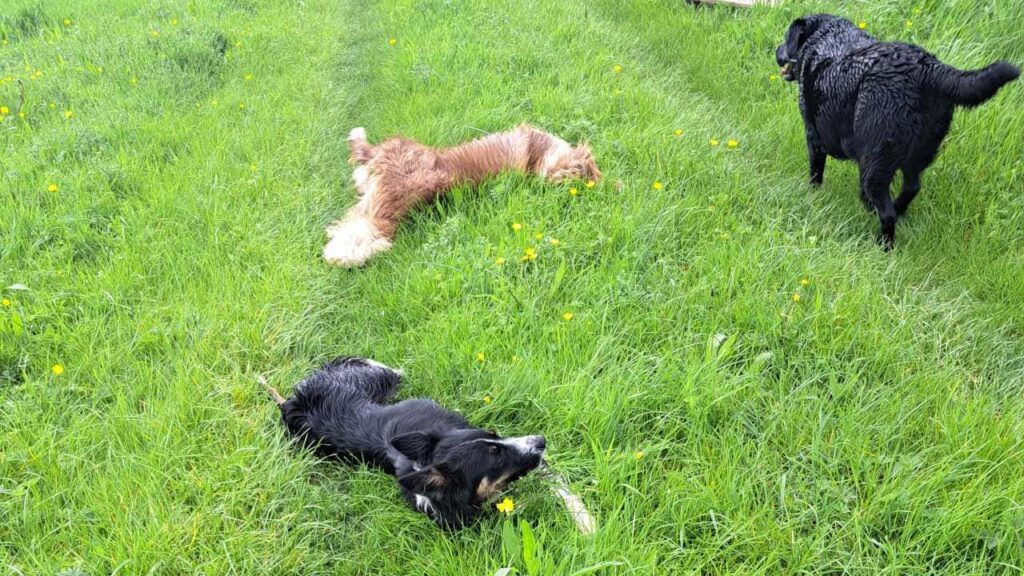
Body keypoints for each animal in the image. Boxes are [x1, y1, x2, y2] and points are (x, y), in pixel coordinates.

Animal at [774, 14, 1015, 248]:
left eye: (786, 38)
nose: (777, 51)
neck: (827, 38)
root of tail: (927, 68)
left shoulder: (813, 136)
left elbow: (816, 173)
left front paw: (812, 194)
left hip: (877, 160)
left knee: (886, 211)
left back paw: (884, 245)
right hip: (918, 152)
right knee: (911, 187)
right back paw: (896, 209)